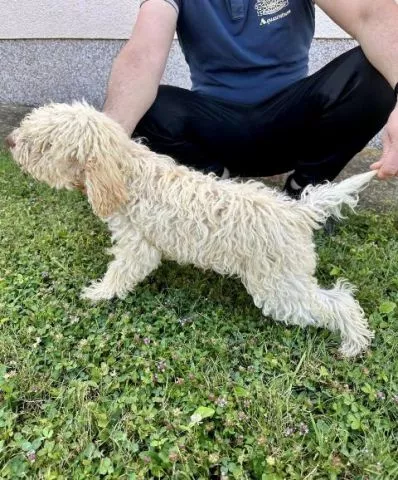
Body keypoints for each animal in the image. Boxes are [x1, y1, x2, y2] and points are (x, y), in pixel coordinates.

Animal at [7, 101, 378, 356]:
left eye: (44, 144)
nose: (10, 140)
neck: (126, 174)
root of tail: (297, 212)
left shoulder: (138, 247)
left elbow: (120, 274)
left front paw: (98, 293)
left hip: (279, 288)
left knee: (338, 303)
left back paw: (354, 343)